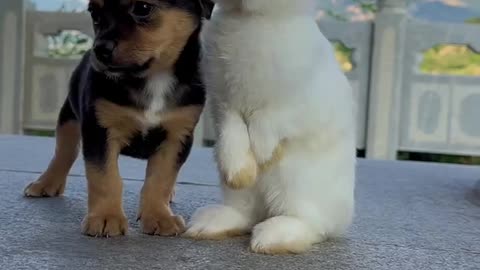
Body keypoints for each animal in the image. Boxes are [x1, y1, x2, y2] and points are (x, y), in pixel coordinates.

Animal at [22, 0, 214, 236]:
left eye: (142, 8)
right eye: (94, 14)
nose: (99, 49)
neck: (154, 78)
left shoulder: (177, 136)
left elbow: (161, 178)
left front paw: (159, 216)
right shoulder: (100, 131)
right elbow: (106, 177)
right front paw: (106, 217)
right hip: (68, 119)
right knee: (64, 153)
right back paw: (45, 183)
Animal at [186, 0, 358, 254]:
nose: (245, 175)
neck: (252, 18)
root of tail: (342, 219)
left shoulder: (298, 103)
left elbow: (268, 119)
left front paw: (263, 154)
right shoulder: (223, 103)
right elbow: (233, 130)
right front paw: (241, 172)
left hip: (296, 181)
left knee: (312, 224)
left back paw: (269, 239)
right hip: (238, 190)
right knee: (246, 213)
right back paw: (209, 224)